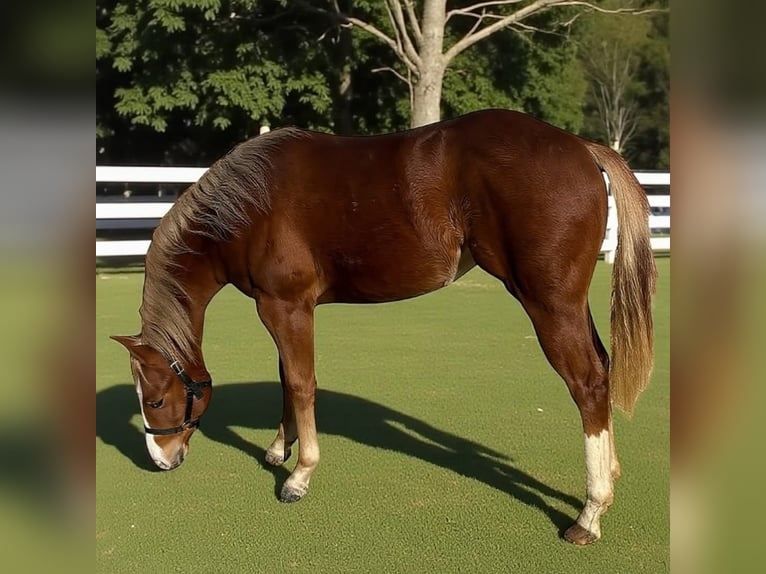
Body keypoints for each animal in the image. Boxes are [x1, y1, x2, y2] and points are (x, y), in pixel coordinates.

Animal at [111, 108, 656, 545]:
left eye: (155, 401)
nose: (160, 459)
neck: (250, 204)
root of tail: (581, 147)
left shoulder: (286, 307)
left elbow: (302, 384)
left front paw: (299, 475)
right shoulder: (279, 310)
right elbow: (287, 379)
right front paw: (278, 449)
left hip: (548, 304)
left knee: (588, 383)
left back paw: (589, 513)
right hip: (570, 304)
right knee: (602, 369)